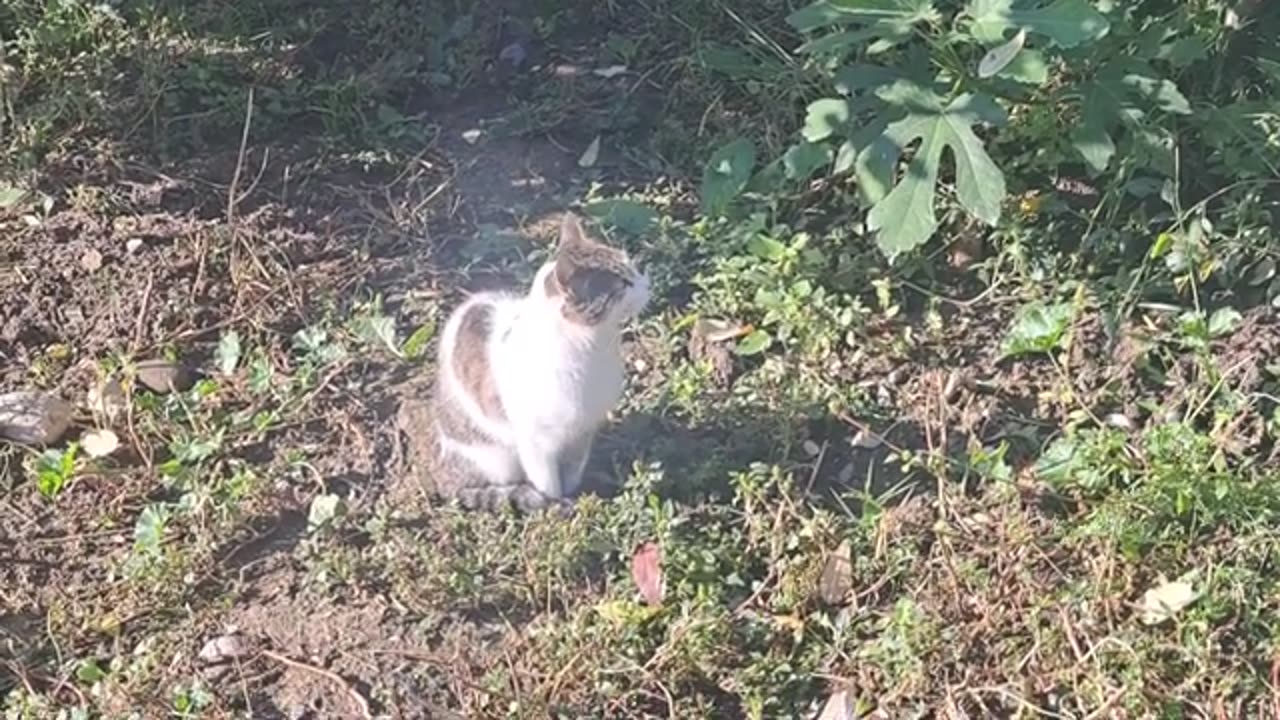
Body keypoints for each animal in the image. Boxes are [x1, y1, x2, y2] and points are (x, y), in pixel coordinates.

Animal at [427, 210, 650, 507]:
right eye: (623, 285)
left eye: (631, 267)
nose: (648, 284)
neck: (593, 348)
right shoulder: (536, 442)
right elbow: (548, 485)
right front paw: (557, 506)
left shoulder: (583, 430)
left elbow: (573, 472)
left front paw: (578, 492)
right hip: (497, 459)